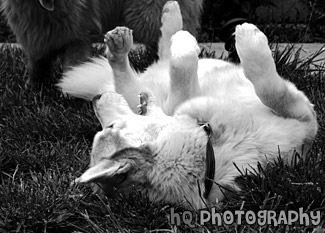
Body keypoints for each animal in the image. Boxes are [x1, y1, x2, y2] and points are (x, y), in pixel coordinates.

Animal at [0, 0, 202, 87]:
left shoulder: (77, 38)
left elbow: (72, 66)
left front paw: (69, 88)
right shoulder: (35, 39)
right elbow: (37, 66)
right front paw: (33, 88)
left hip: (144, 19)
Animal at [58, 1, 316, 209]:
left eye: (109, 126)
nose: (97, 98)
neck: (210, 151)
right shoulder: (305, 117)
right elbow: (268, 87)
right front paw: (247, 38)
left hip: (149, 89)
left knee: (156, 59)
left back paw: (166, 17)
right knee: (147, 69)